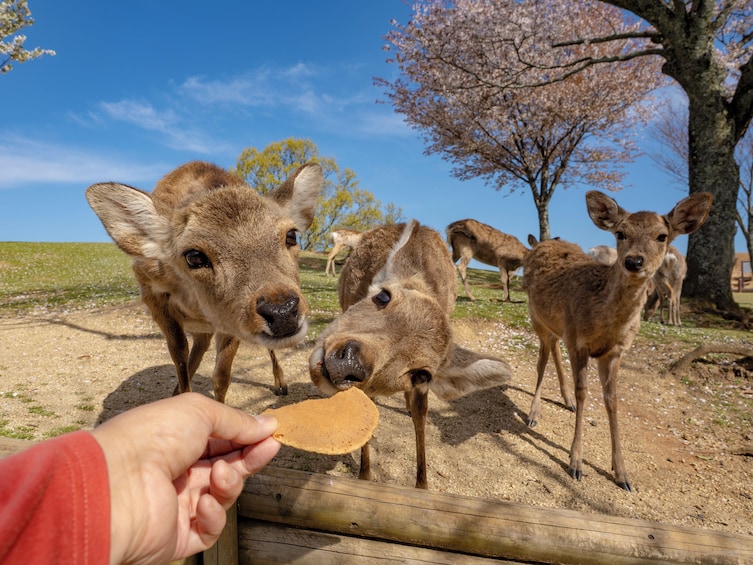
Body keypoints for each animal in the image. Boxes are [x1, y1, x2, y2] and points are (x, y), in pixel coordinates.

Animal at [86, 160, 322, 400]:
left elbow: (221, 376)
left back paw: (281, 384)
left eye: (291, 235)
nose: (282, 310)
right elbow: (179, 354)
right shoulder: (152, 294)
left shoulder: (229, 319)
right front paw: (182, 396)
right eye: (194, 256)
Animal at [306, 220, 512, 490]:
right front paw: (365, 476)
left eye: (421, 374)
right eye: (383, 296)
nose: (349, 361)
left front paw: (422, 485)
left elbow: (421, 414)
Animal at [524, 191, 712, 490]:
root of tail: (540, 245)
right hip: (536, 316)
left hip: (557, 327)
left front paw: (622, 474)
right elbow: (585, 393)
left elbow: (612, 400)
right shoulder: (579, 341)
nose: (634, 261)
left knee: (552, 349)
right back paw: (533, 414)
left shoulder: (614, 351)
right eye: (620, 233)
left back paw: (565, 400)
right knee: (541, 361)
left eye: (662, 236)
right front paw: (575, 464)